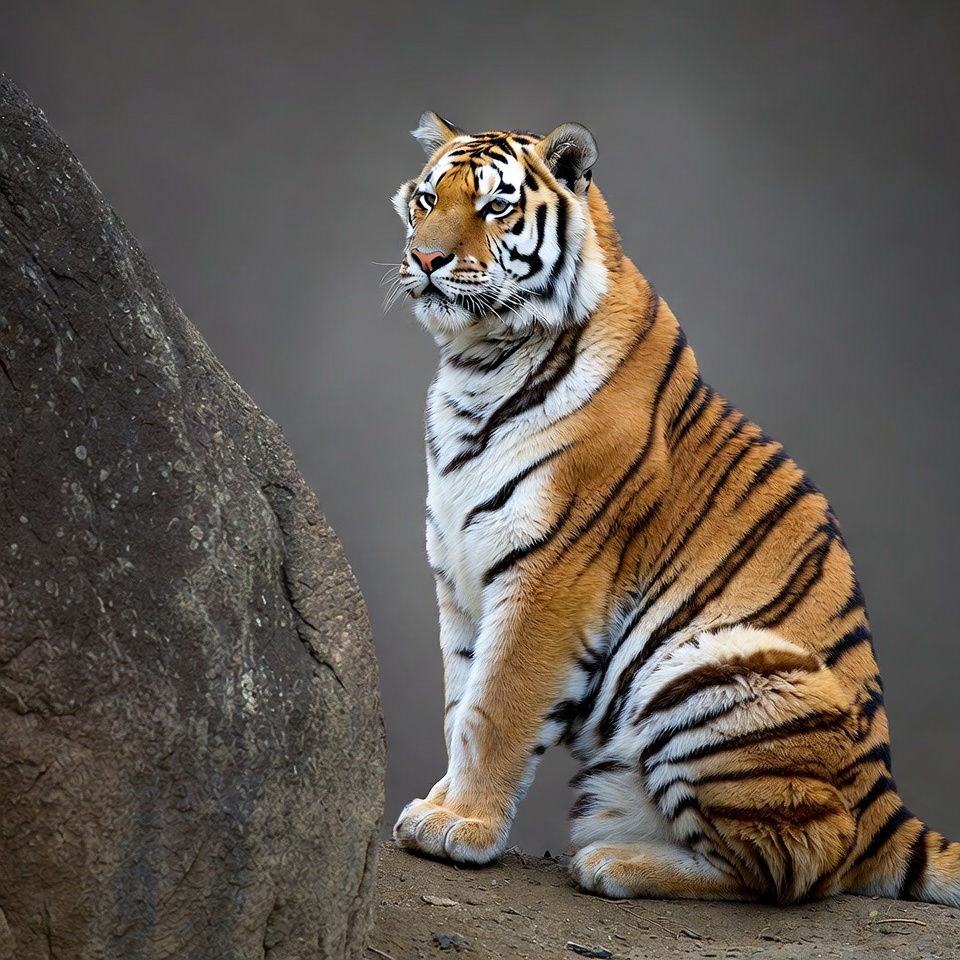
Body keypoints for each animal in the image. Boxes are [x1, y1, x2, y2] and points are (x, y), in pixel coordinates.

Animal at [387, 111, 960, 905]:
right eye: (427, 199)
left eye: (495, 206)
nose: (426, 257)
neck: (476, 365)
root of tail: (887, 805)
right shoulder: (459, 574)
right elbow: (459, 705)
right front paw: (441, 805)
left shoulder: (550, 572)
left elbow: (497, 706)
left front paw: (460, 826)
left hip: (710, 671)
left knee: (798, 865)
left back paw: (615, 865)